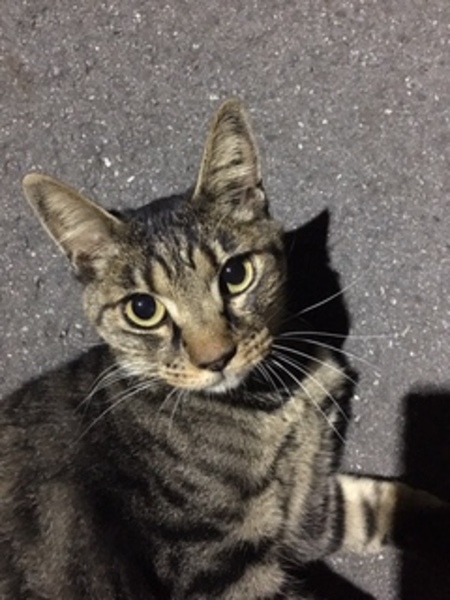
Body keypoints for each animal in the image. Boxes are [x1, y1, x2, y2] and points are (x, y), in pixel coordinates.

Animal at [1, 99, 449, 600]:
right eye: (143, 308)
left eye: (235, 274)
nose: (215, 358)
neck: (276, 402)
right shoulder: (220, 567)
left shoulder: (308, 512)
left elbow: (382, 502)